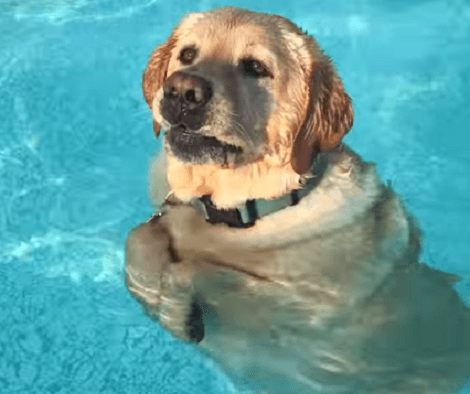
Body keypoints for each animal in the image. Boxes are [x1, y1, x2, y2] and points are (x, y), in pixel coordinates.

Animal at [124, 6, 470, 394]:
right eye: (187, 54)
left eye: (255, 67)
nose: (182, 90)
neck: (243, 211)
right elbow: (138, 234)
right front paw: (151, 291)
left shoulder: (308, 308)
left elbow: (204, 270)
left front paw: (172, 307)